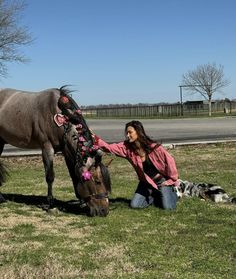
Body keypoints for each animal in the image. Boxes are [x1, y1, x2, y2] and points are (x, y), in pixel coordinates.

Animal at [0, 86, 111, 218]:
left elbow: (73, 175)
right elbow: (50, 176)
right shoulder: (47, 147)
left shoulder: (66, 150)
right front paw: (50, 204)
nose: (104, 210)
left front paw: (81, 202)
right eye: (98, 181)